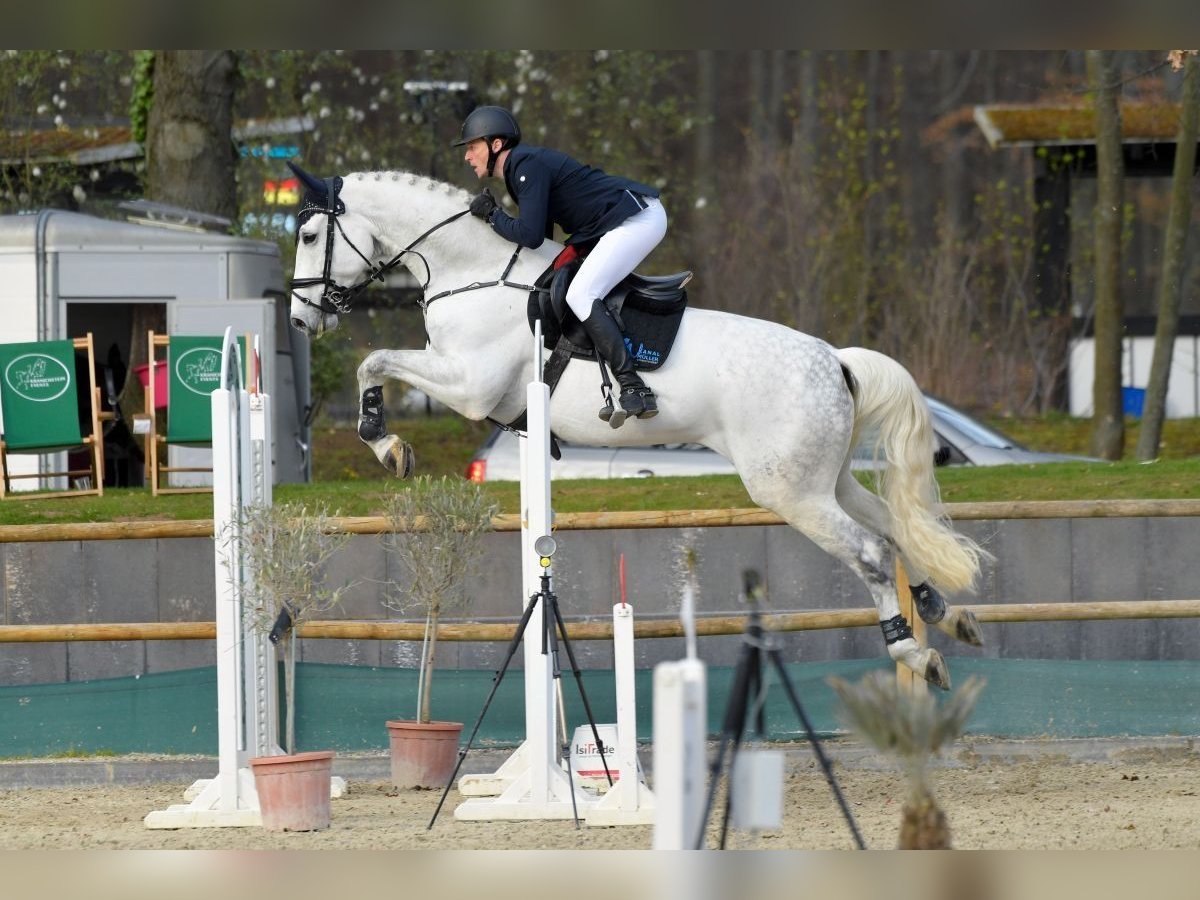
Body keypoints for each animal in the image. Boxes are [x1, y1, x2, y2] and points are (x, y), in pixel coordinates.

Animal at [288, 168, 984, 691]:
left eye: (310, 232)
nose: (299, 320)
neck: (473, 273)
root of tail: (835, 359)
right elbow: (375, 361)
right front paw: (387, 441)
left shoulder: (468, 386)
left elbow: (375, 359)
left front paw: (385, 442)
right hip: (825, 480)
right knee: (893, 527)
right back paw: (945, 613)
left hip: (789, 491)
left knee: (871, 553)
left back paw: (915, 652)